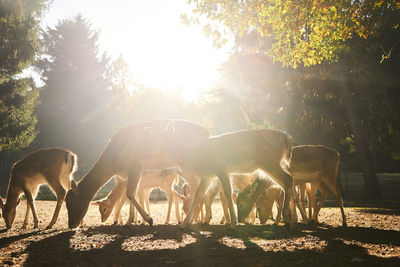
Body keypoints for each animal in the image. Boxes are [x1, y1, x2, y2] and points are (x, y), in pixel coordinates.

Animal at [64, 120, 209, 229]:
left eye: (70, 202)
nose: (71, 225)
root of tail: (206, 132)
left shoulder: (136, 168)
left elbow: (129, 193)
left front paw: (149, 219)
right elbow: (130, 195)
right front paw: (130, 220)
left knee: (197, 186)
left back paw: (187, 221)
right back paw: (193, 219)